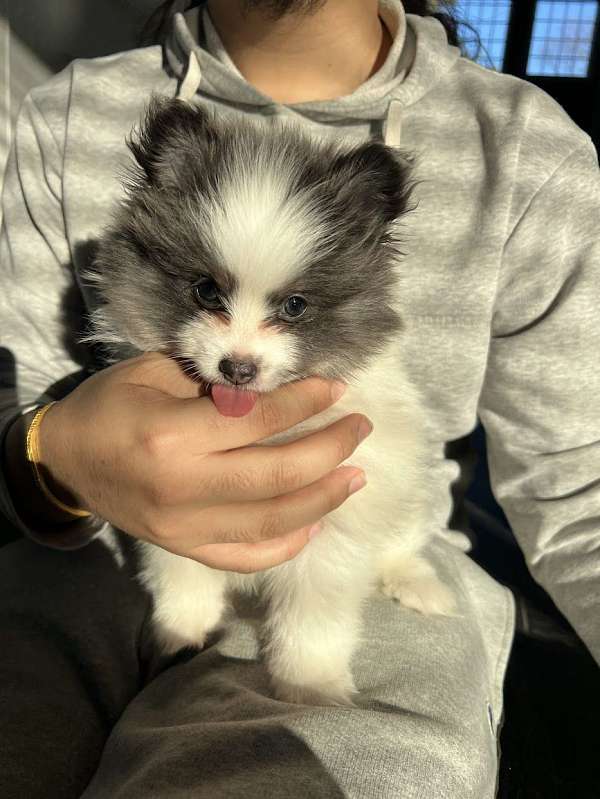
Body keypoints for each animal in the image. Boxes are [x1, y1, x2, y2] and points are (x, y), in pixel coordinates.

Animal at [79, 95, 454, 708]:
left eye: (295, 306)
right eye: (207, 291)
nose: (238, 367)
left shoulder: (335, 524)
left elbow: (314, 617)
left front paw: (311, 687)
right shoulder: (170, 510)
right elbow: (181, 578)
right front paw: (181, 633)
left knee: (402, 541)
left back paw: (418, 584)